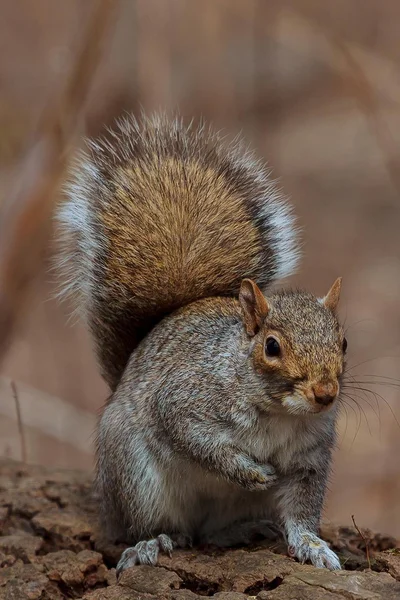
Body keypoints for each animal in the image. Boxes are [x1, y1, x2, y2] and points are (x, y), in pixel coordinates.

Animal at [56, 111, 344, 572]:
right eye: (272, 346)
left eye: (344, 342)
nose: (325, 394)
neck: (280, 413)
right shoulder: (185, 400)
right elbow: (198, 441)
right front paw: (251, 473)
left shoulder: (309, 460)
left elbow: (301, 511)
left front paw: (313, 546)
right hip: (137, 479)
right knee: (165, 528)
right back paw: (152, 543)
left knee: (210, 532)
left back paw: (241, 530)